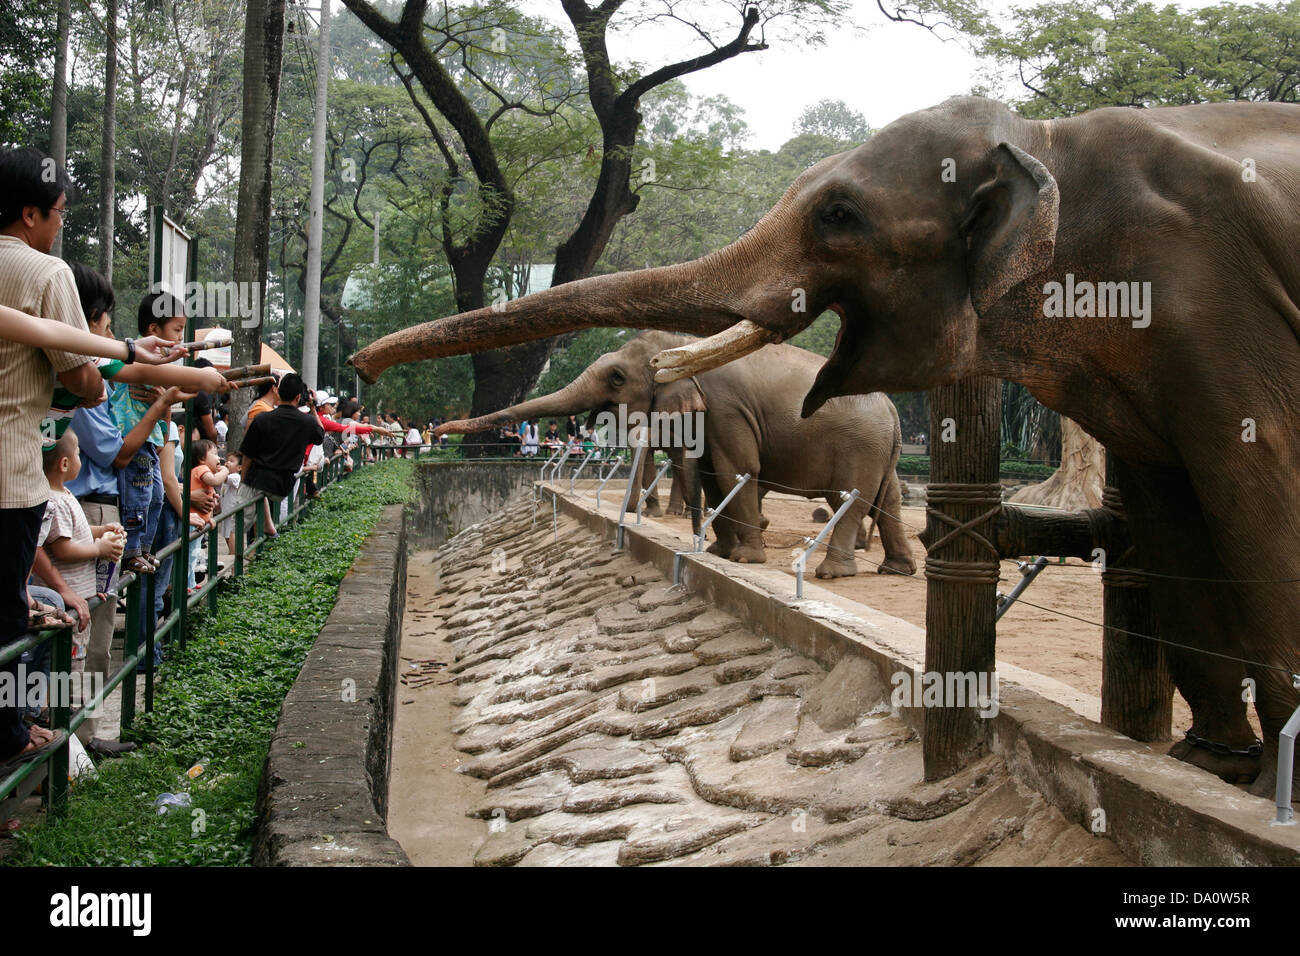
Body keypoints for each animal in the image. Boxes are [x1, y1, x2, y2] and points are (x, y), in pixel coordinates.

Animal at [431, 332, 920, 580]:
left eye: (616, 377)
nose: (437, 431)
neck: (687, 344)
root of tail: (895, 411)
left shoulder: (727, 408)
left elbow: (737, 471)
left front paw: (745, 560)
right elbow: (712, 475)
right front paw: (722, 551)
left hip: (860, 446)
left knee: (851, 500)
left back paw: (830, 574)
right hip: (879, 450)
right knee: (885, 499)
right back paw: (895, 569)